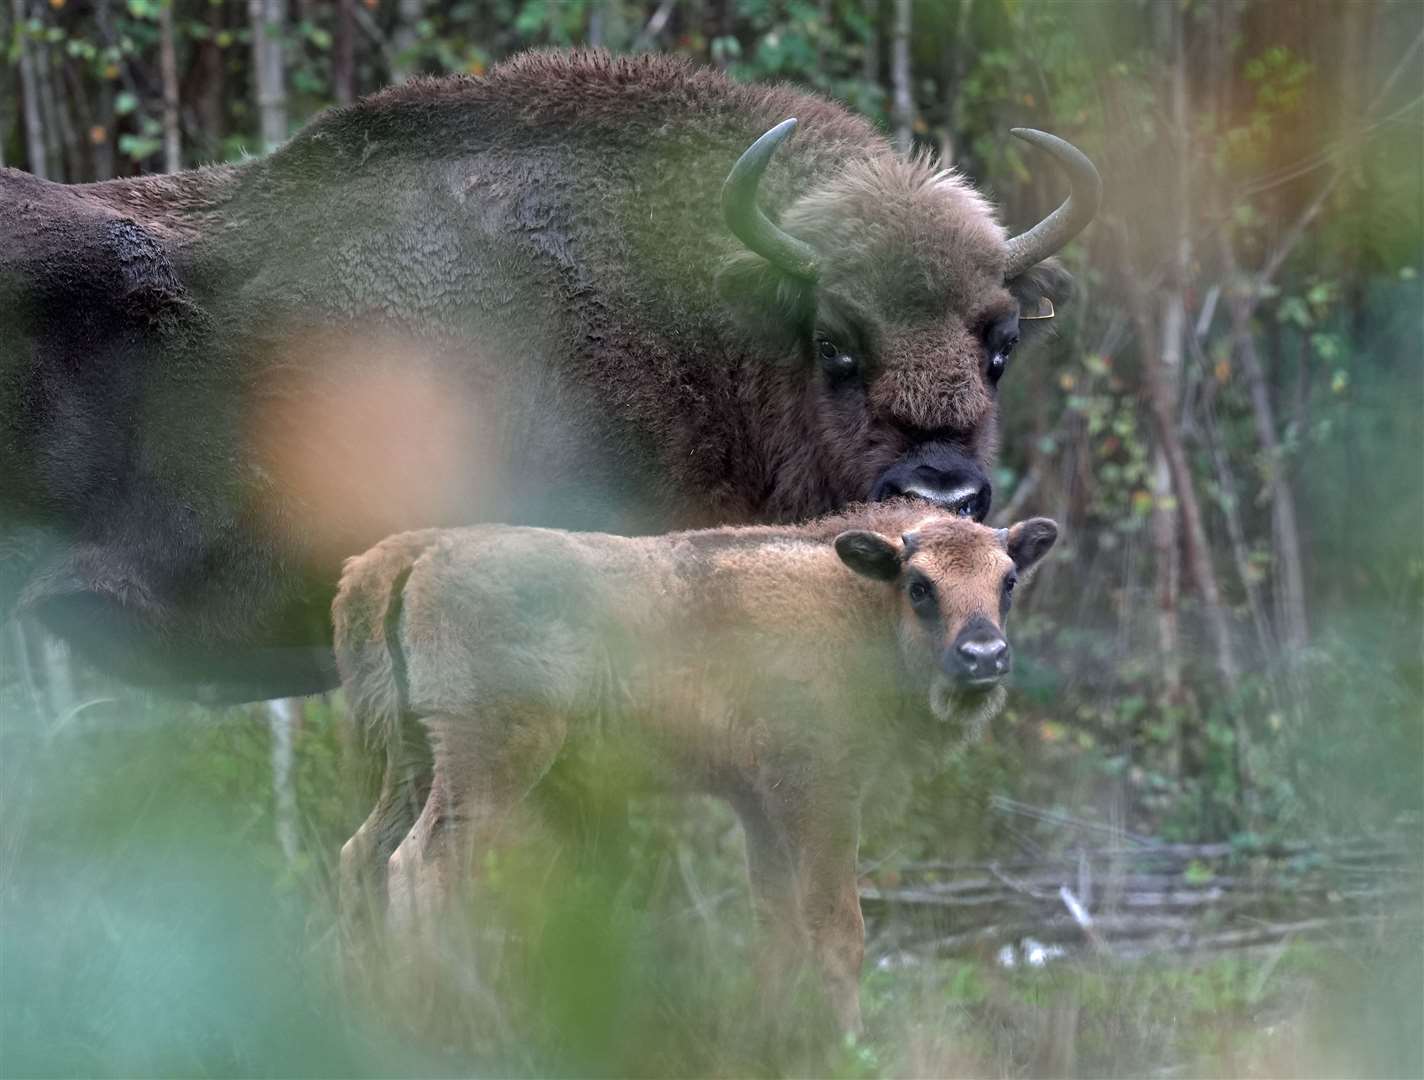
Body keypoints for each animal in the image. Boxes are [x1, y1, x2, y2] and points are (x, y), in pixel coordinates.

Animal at [333, 504, 1059, 1037]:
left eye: (1007, 581)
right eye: (919, 586)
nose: (984, 655)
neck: (859, 606)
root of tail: (417, 551)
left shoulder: (760, 806)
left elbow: (777, 927)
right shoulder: (821, 794)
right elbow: (838, 928)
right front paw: (849, 1043)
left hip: (415, 760)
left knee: (362, 852)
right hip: (489, 759)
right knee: (421, 866)